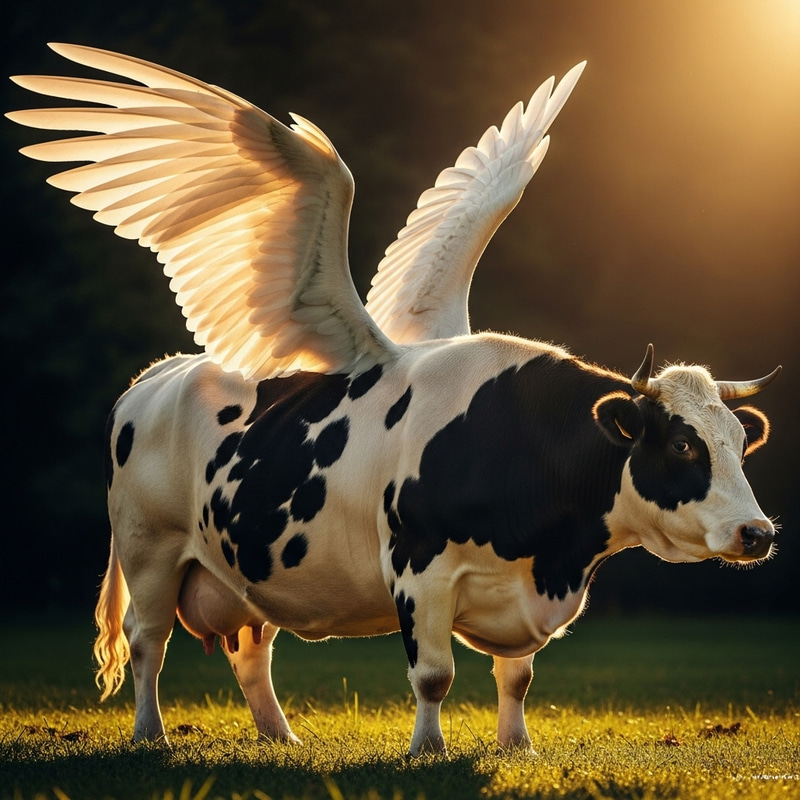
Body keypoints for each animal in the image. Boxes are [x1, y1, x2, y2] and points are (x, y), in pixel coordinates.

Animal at [8, 45, 780, 756]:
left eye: (740, 443)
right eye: (681, 443)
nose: (759, 532)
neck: (553, 549)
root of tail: (158, 374)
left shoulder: (521, 590)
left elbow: (517, 677)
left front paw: (517, 747)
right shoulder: (420, 566)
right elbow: (434, 676)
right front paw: (427, 751)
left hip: (242, 564)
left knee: (250, 651)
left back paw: (281, 738)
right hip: (152, 549)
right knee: (148, 641)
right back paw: (152, 736)